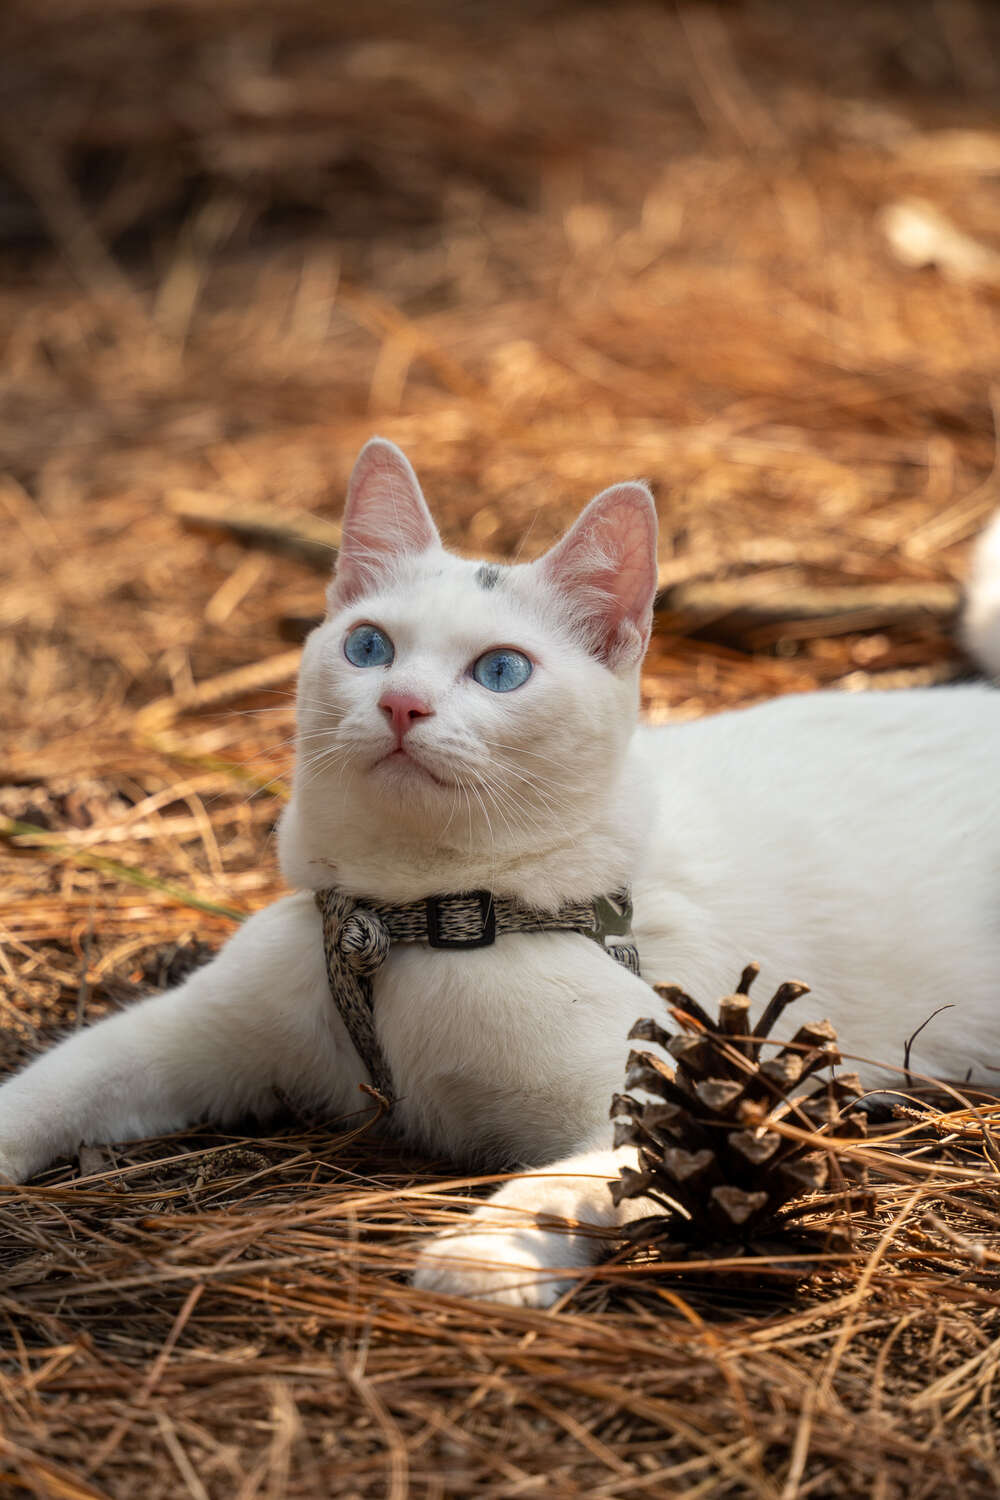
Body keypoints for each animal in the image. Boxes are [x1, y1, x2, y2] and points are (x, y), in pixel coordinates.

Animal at [1, 438, 1000, 1308]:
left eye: (503, 670)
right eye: (368, 646)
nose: (402, 704)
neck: (406, 925)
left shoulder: (657, 1089)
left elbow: (572, 1183)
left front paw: (487, 1254)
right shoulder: (190, 1031)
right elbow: (62, 1078)